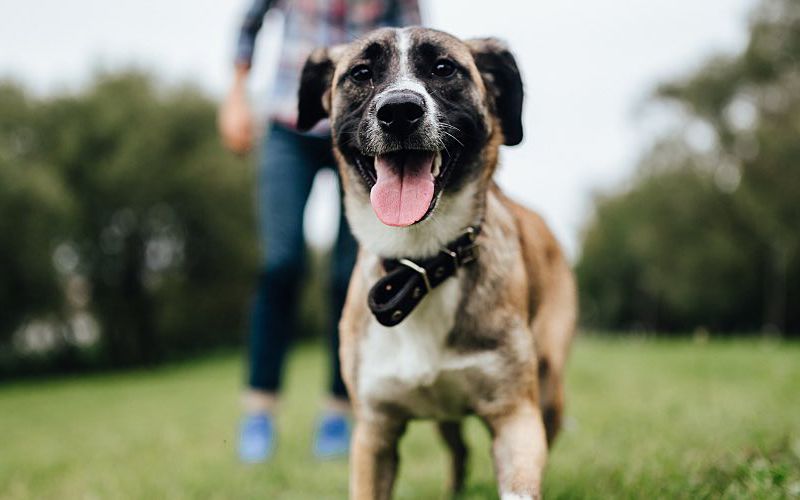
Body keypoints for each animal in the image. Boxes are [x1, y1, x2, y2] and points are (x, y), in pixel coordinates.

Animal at [296, 27, 572, 500]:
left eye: (444, 68)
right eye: (361, 73)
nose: (399, 111)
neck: (421, 263)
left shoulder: (515, 417)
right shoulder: (374, 434)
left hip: (548, 387)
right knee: (459, 451)